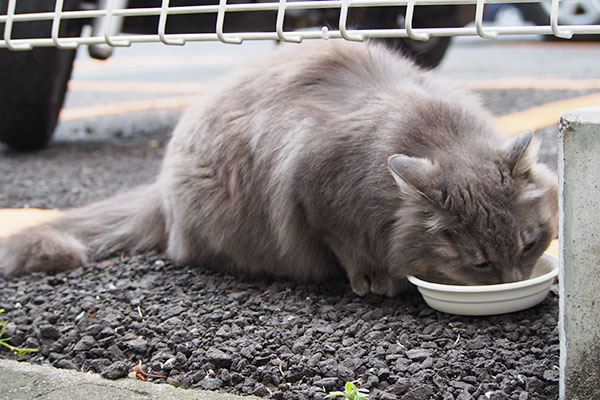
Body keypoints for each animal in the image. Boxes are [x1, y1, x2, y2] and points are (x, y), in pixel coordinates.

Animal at [0, 39, 556, 296]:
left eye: (530, 245)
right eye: (480, 264)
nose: (512, 279)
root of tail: (159, 186)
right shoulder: (313, 188)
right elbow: (348, 245)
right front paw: (375, 276)